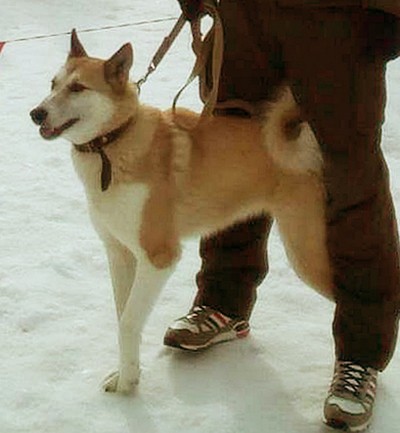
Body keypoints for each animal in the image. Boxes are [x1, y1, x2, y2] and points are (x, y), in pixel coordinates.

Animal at [30, 30, 333, 394]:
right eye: (53, 83)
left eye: (77, 88)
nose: (36, 113)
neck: (115, 141)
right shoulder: (120, 254)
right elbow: (123, 317)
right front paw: (126, 374)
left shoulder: (158, 258)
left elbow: (128, 322)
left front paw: (128, 387)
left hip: (307, 255)